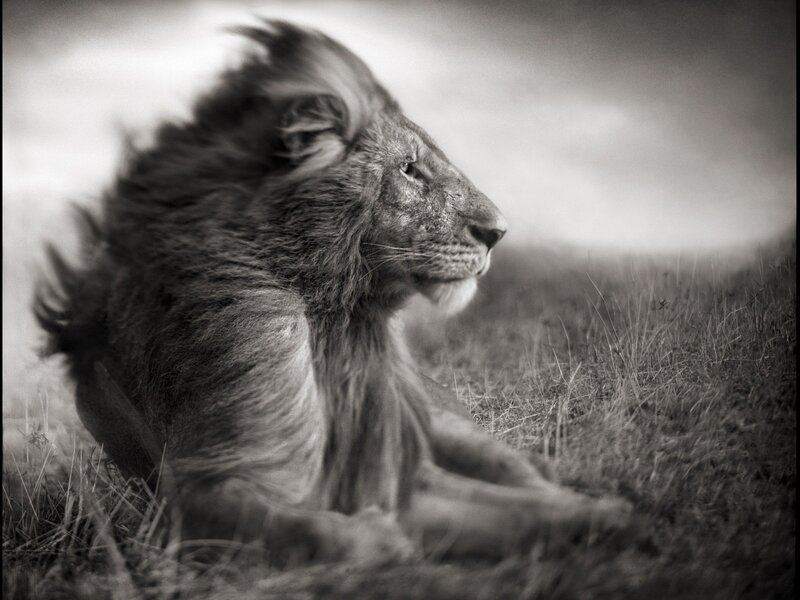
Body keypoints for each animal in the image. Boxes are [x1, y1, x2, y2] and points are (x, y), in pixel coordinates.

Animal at [35, 20, 632, 564]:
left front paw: (612, 515)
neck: (335, 318)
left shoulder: (401, 471)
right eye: (410, 170)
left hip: (442, 422)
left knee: (517, 466)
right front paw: (377, 539)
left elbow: (527, 509)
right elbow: (306, 529)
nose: (498, 232)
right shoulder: (194, 493)